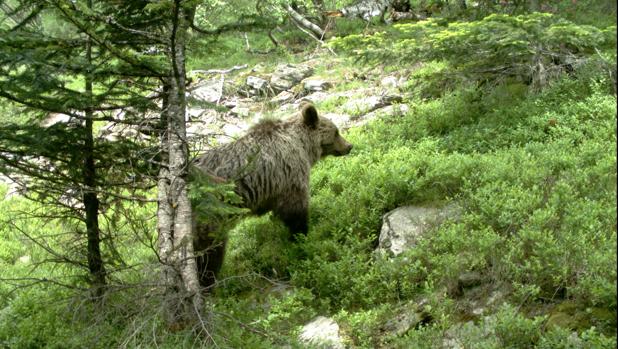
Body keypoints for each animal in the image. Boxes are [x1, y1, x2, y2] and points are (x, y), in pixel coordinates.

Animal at [192, 102, 352, 286]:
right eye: (336, 131)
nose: (349, 146)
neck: (302, 145)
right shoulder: (290, 175)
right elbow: (296, 209)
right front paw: (301, 236)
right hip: (211, 217)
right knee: (209, 253)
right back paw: (208, 280)